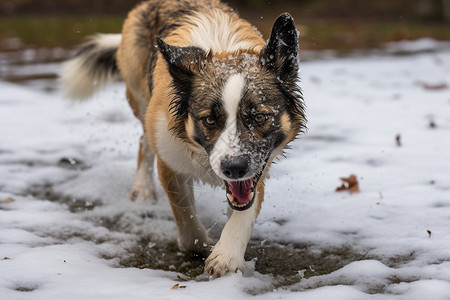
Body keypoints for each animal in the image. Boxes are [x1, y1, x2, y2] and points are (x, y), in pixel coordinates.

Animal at [60, 0, 306, 276]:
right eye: (209, 120)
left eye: (260, 117)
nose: (233, 168)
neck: (224, 52)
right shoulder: (169, 160)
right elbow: (185, 220)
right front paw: (202, 245)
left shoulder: (258, 167)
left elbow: (245, 210)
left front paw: (227, 255)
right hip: (141, 101)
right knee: (144, 142)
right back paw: (142, 189)